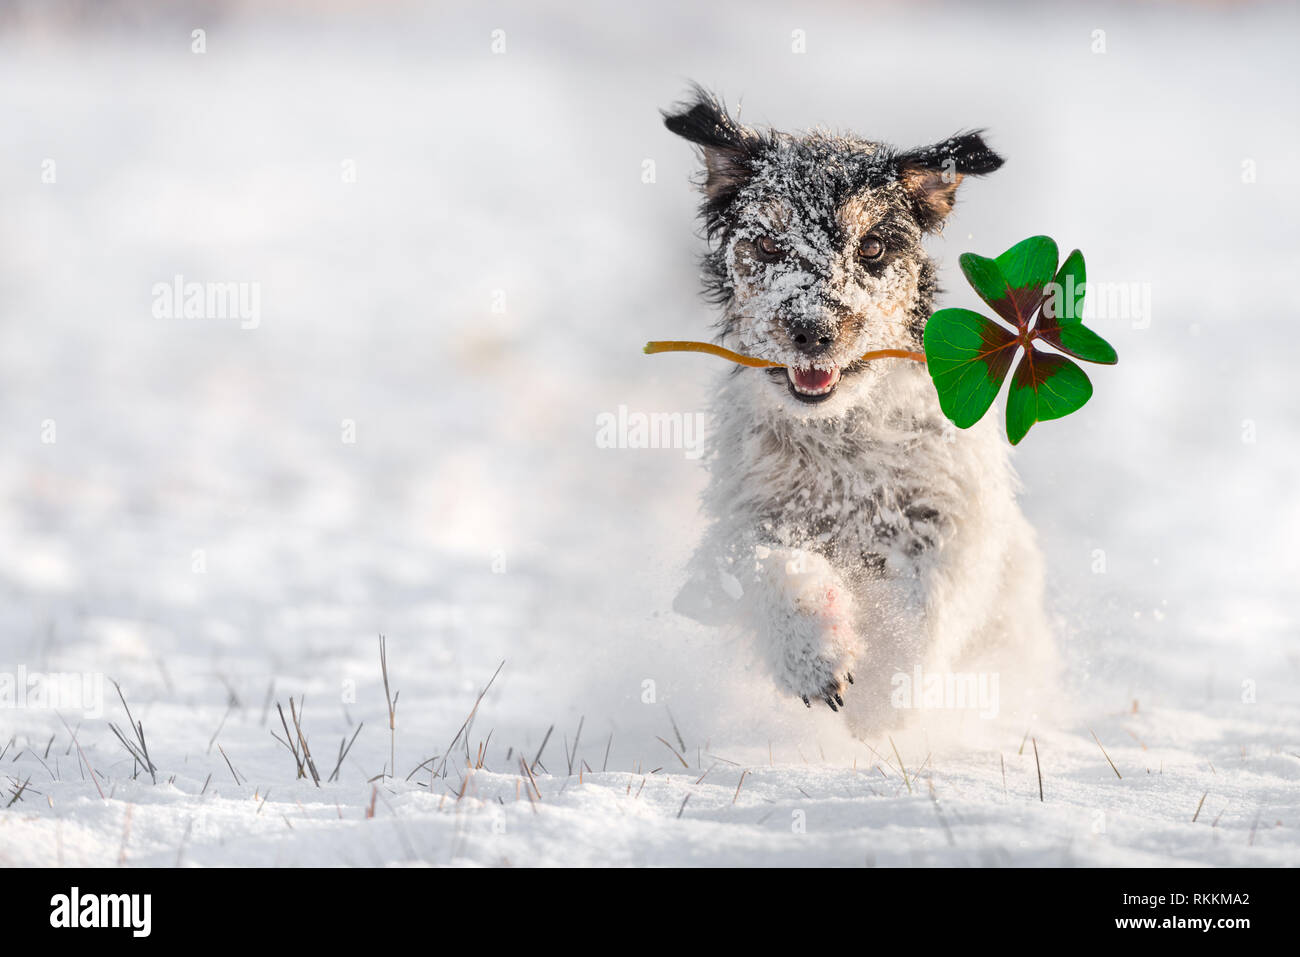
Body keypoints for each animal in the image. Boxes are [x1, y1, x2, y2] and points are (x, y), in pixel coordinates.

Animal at [665, 87, 1050, 733]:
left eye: (871, 247)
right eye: (767, 243)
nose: (811, 331)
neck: (843, 439)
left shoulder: (951, 519)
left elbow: (923, 608)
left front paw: (882, 702)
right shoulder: (746, 525)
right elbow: (769, 566)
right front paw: (817, 658)